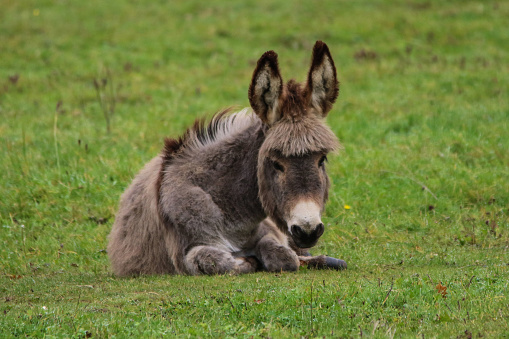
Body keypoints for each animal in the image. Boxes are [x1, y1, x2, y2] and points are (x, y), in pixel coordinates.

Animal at [106, 41, 346, 276]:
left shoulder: (271, 231)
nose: (308, 230)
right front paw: (249, 261)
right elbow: (217, 261)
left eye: (322, 159)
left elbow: (283, 257)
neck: (231, 219)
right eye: (276, 163)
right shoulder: (185, 252)